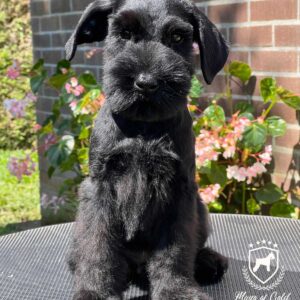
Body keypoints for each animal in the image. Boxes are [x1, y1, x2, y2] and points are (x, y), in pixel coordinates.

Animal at [66, 0, 227, 300]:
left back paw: (209, 261)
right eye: (124, 33)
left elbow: (176, 250)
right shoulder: (100, 187)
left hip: (201, 210)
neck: (143, 126)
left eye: (177, 37)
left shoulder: (179, 192)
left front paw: (176, 290)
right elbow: (98, 245)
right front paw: (95, 290)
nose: (146, 82)